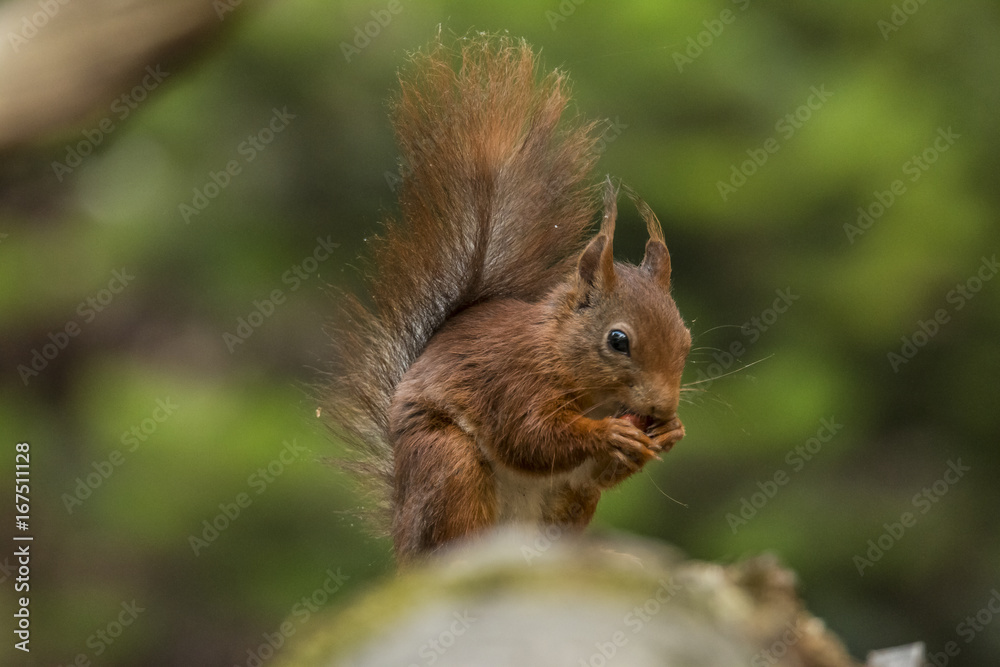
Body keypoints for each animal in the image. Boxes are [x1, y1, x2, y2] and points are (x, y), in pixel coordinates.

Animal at [324, 36, 691, 564]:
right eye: (618, 340)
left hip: (567, 502)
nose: (662, 408)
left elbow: (597, 468)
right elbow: (530, 438)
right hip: (448, 465)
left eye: (686, 340)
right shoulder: (512, 381)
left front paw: (671, 432)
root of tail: (401, 539)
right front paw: (606, 434)